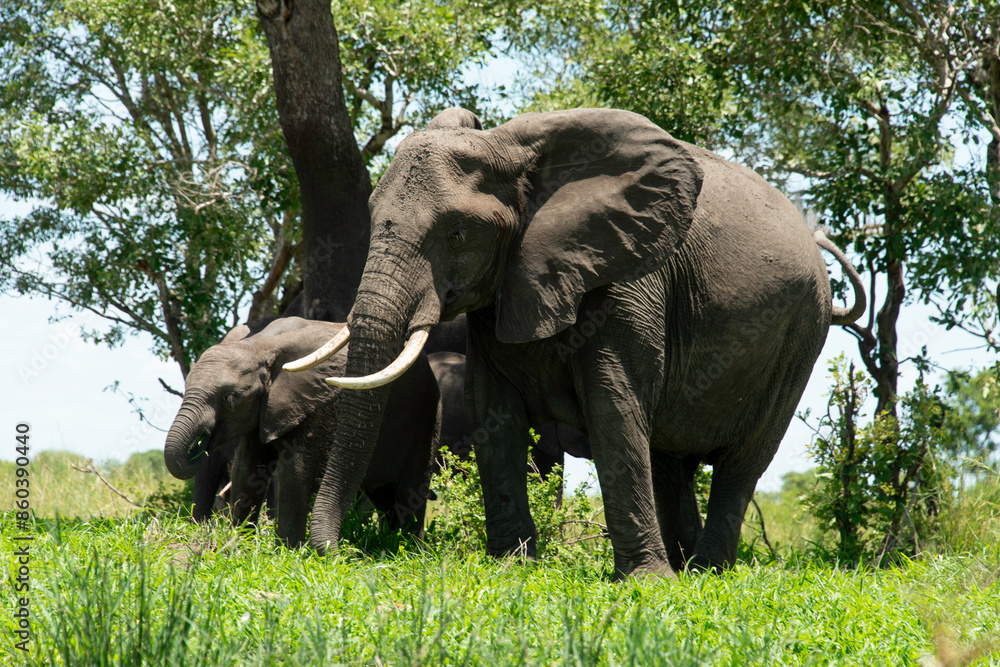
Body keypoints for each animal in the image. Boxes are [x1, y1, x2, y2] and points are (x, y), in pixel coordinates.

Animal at [164, 316, 441, 546]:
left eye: (230, 398)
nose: (201, 442)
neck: (259, 345)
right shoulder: (264, 410)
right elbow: (246, 467)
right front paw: (239, 543)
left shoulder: (318, 405)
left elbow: (295, 470)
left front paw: (287, 553)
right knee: (384, 497)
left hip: (425, 416)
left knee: (409, 491)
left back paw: (408, 549)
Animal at [288, 107, 865, 578]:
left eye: (457, 233)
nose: (335, 553)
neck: (512, 151)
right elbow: (492, 410)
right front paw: (513, 566)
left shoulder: (629, 276)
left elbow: (611, 402)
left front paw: (646, 584)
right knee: (669, 459)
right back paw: (685, 564)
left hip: (800, 336)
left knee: (742, 461)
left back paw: (705, 572)